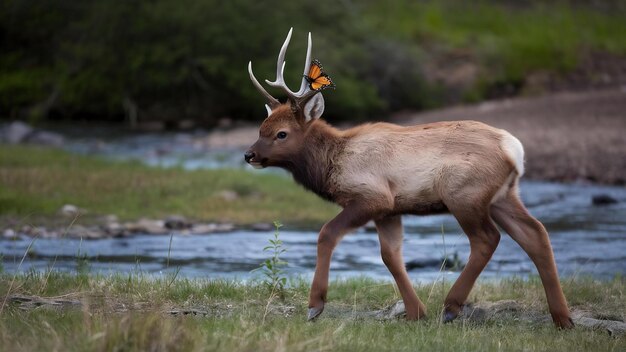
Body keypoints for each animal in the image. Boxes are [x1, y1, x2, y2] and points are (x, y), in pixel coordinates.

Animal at [243, 28, 572, 328]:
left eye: (281, 133)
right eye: (261, 127)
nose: (249, 155)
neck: (332, 165)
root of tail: (513, 148)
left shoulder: (372, 196)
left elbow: (327, 233)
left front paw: (315, 306)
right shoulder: (390, 210)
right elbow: (391, 256)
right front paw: (415, 312)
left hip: (465, 193)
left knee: (487, 239)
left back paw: (452, 307)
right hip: (503, 195)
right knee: (535, 233)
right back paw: (563, 318)